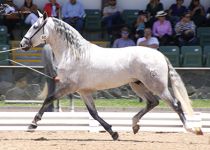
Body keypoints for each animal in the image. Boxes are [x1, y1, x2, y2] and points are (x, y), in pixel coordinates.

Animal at [20, 12, 203, 140]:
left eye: (35, 26)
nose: (23, 44)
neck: (73, 53)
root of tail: (160, 55)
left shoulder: (69, 86)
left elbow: (49, 98)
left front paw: (32, 124)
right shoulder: (83, 91)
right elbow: (93, 113)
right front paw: (113, 133)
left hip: (157, 86)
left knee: (175, 104)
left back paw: (192, 129)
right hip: (137, 85)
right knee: (152, 102)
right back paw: (134, 125)